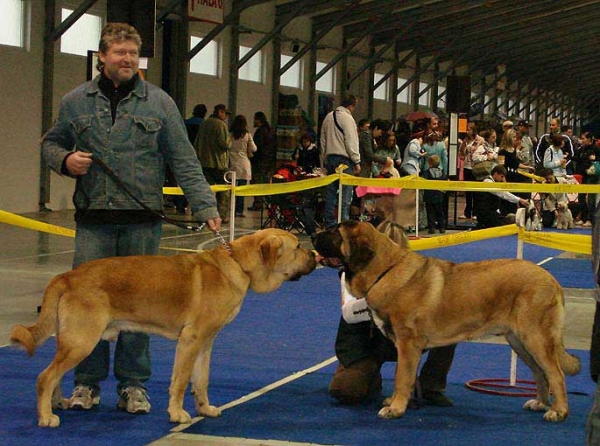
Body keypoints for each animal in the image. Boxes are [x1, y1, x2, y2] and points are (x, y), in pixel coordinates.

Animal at [11, 228, 316, 426]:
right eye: (297, 247)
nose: (315, 254)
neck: (238, 264)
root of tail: (67, 276)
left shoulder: (206, 342)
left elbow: (201, 380)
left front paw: (204, 409)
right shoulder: (190, 339)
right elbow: (180, 381)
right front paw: (177, 414)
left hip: (73, 342)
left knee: (54, 375)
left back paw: (56, 404)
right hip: (82, 340)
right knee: (45, 377)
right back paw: (46, 417)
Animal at [314, 222, 580, 422]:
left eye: (334, 232)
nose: (314, 234)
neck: (385, 270)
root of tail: (551, 279)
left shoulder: (407, 344)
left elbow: (402, 377)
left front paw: (395, 408)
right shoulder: (408, 348)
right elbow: (408, 377)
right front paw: (399, 402)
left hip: (535, 337)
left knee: (556, 373)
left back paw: (558, 411)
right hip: (519, 341)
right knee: (540, 372)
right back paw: (541, 403)